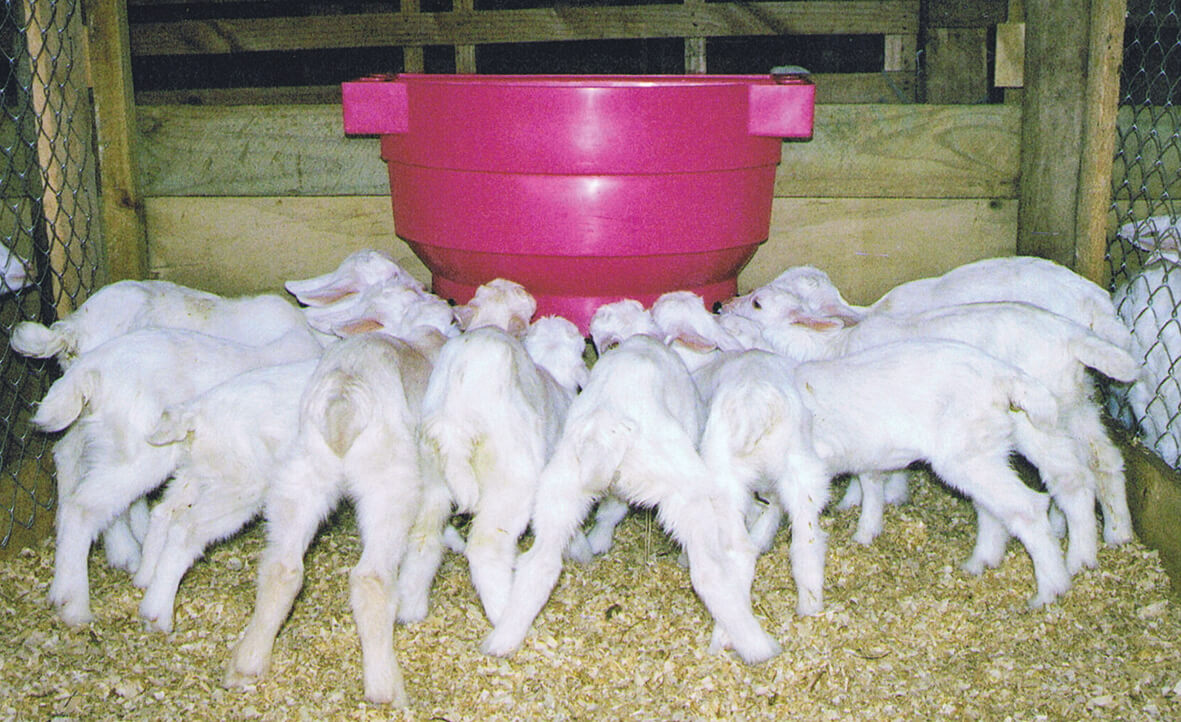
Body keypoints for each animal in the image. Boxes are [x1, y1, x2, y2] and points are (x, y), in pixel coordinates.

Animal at [31, 327, 323, 627]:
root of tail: (90, 368)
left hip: (103, 442)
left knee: (76, 472)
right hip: (140, 456)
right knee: (84, 507)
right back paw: (75, 605)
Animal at [481, 301, 780, 665]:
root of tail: (604, 433)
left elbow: (610, 511)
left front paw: (599, 541)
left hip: (560, 488)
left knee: (539, 564)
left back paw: (503, 639)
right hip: (686, 491)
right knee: (711, 569)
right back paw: (756, 645)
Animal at [728, 290, 1140, 568]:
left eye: (757, 304)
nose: (722, 305)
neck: (830, 347)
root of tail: (1072, 336)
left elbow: (870, 474)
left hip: (1034, 419)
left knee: (1068, 477)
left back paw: (1076, 556)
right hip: (1075, 405)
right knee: (1099, 462)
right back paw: (1111, 534)